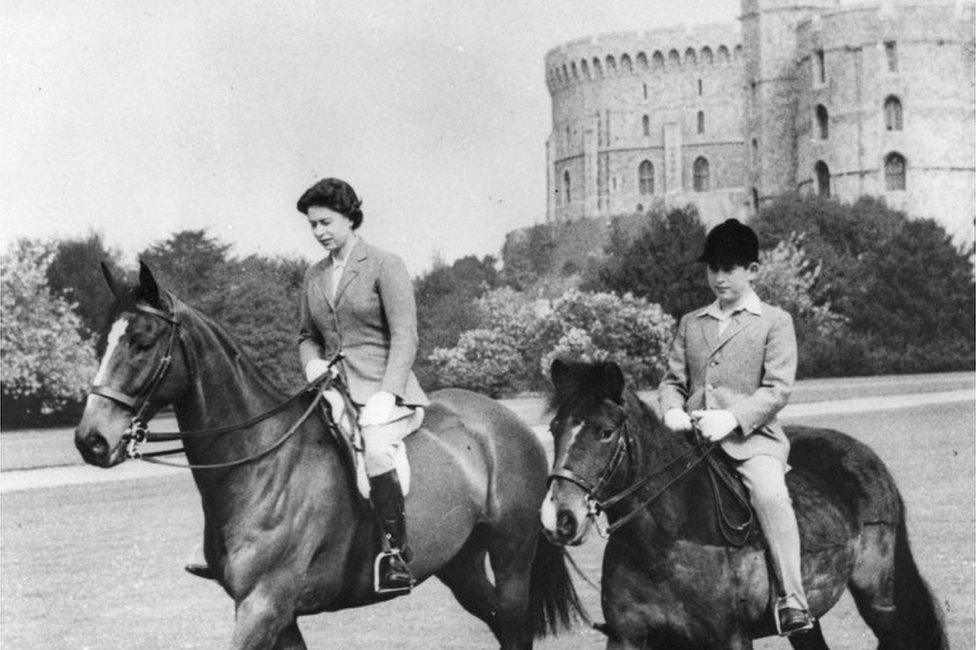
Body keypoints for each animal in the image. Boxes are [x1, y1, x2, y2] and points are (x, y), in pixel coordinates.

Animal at [76, 264, 584, 648]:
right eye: (103, 342)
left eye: (142, 342)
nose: (90, 440)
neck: (260, 463)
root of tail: (509, 423)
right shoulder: (278, 615)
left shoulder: (263, 606)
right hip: (460, 565)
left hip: (512, 557)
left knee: (515, 628)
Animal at [536, 360, 948, 648]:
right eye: (555, 429)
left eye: (605, 432)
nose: (560, 518)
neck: (663, 543)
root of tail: (870, 461)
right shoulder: (628, 637)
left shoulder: (730, 639)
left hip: (879, 600)